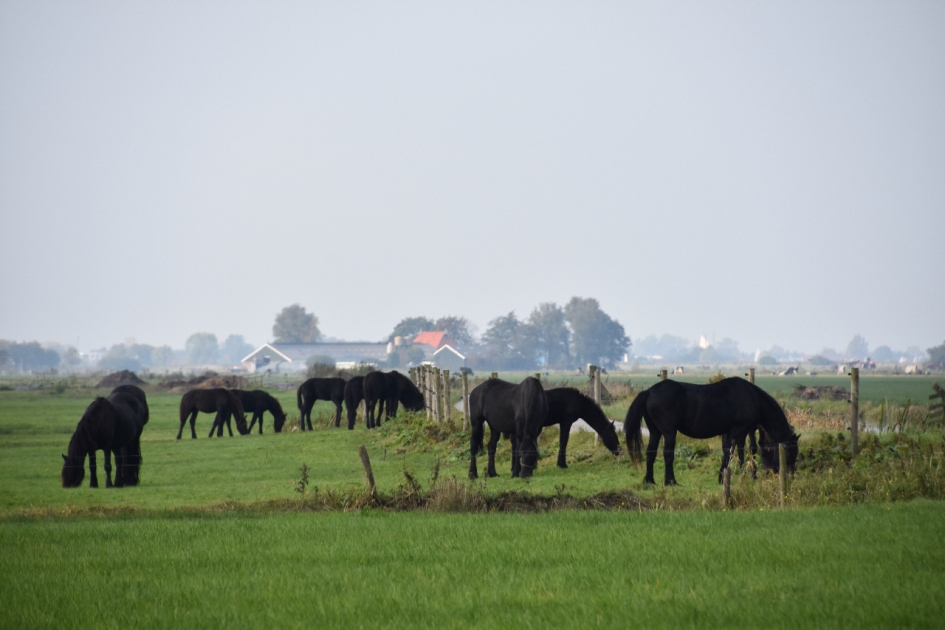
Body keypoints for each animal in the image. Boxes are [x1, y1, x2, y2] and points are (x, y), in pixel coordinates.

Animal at [624, 377, 799, 486]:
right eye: (791, 452)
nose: (791, 475)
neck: (752, 397)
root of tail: (649, 391)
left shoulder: (732, 432)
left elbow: (733, 452)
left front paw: (727, 476)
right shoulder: (739, 430)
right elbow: (736, 452)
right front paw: (733, 475)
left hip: (655, 432)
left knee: (651, 453)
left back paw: (649, 480)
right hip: (669, 433)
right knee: (668, 455)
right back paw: (671, 482)